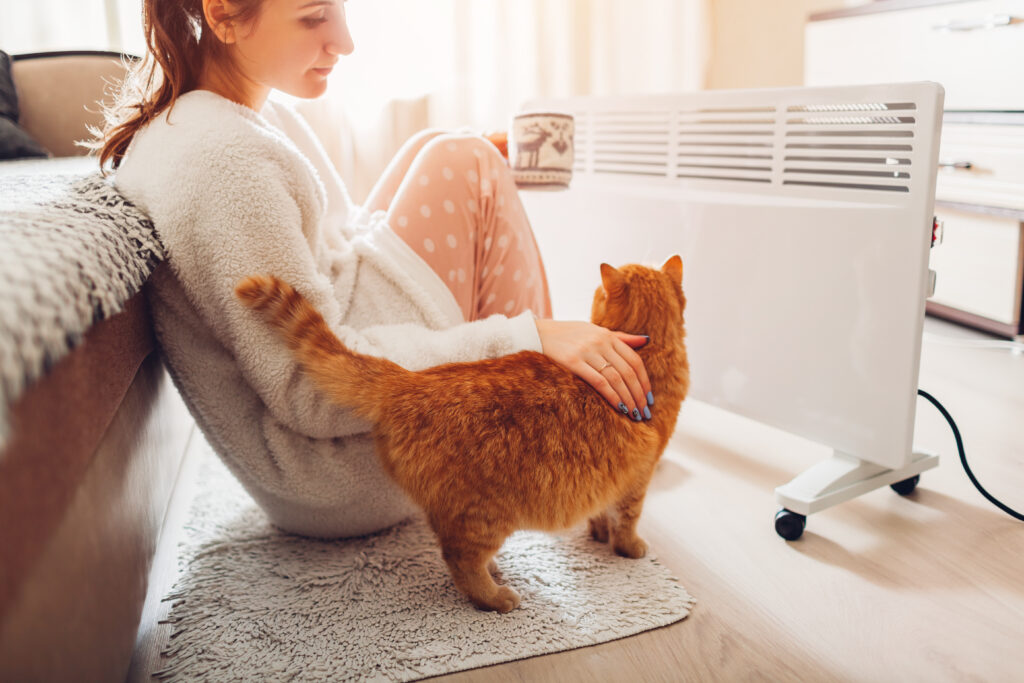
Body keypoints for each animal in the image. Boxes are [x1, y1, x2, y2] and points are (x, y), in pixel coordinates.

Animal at [235, 255, 692, 614]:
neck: (647, 353)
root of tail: (411, 381)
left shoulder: (613, 475)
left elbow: (602, 511)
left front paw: (598, 533)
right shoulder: (638, 477)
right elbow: (627, 520)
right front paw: (629, 547)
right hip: (485, 516)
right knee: (460, 561)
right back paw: (495, 596)